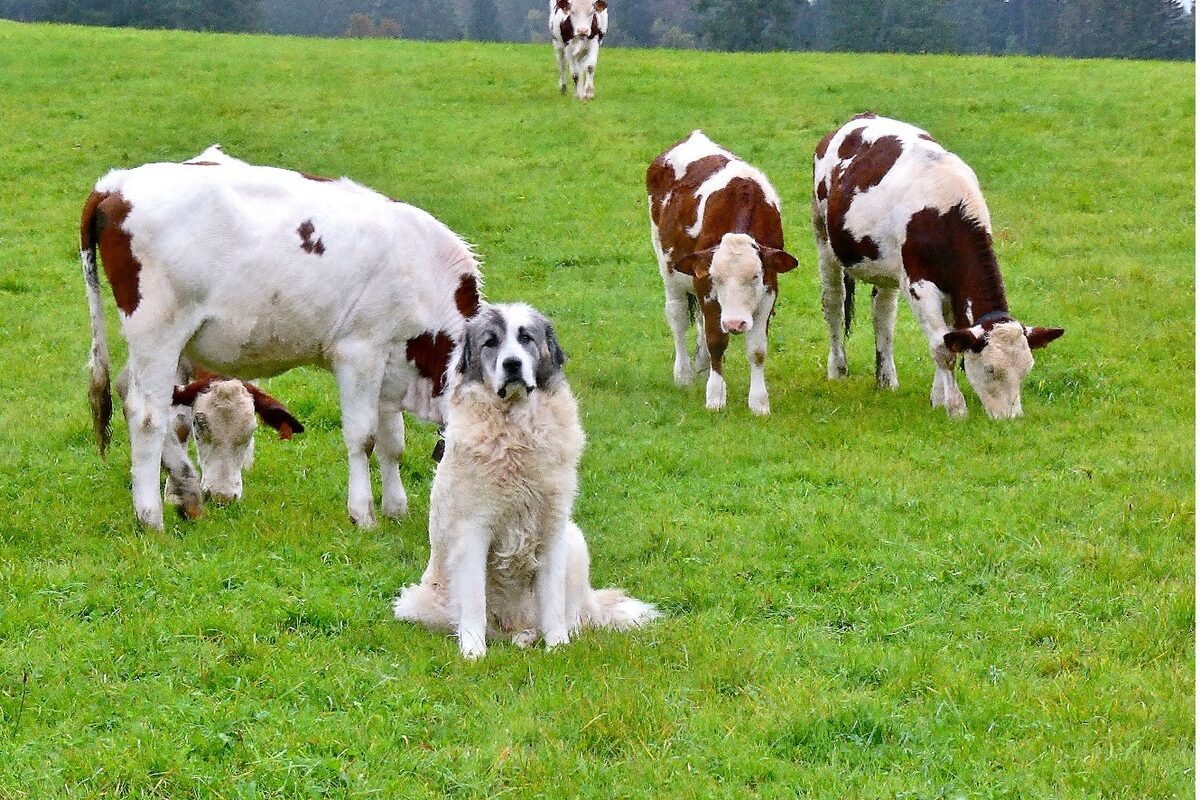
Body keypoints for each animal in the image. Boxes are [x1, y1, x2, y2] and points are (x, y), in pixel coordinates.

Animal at [78, 143, 482, 532]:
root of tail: (117, 184)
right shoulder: (359, 353)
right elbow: (363, 438)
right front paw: (363, 516)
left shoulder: (392, 365)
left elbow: (392, 443)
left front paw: (396, 511)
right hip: (158, 332)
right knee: (146, 415)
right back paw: (150, 517)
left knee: (130, 392)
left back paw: (187, 490)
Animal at [391, 303, 657, 662]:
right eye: (491, 342)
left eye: (526, 338)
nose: (512, 364)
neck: (515, 429)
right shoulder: (473, 531)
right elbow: (474, 601)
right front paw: (473, 653)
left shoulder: (552, 528)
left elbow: (553, 602)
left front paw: (558, 647)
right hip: (419, 602)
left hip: (574, 540)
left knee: (569, 612)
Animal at [648, 130, 796, 419]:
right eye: (717, 278)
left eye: (755, 276)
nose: (735, 323)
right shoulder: (704, 285)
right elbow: (716, 340)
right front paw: (715, 397)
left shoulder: (770, 289)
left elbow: (757, 350)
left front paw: (759, 402)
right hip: (669, 271)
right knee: (678, 317)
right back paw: (683, 374)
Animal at [811, 115, 1065, 422]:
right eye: (991, 369)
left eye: (1026, 369)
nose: (1011, 419)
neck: (945, 212)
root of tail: (860, 118)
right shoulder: (919, 284)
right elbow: (943, 347)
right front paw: (955, 407)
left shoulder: (952, 289)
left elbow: (949, 337)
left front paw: (938, 398)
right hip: (823, 238)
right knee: (834, 304)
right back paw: (837, 369)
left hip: (885, 267)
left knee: (883, 315)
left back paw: (886, 379)